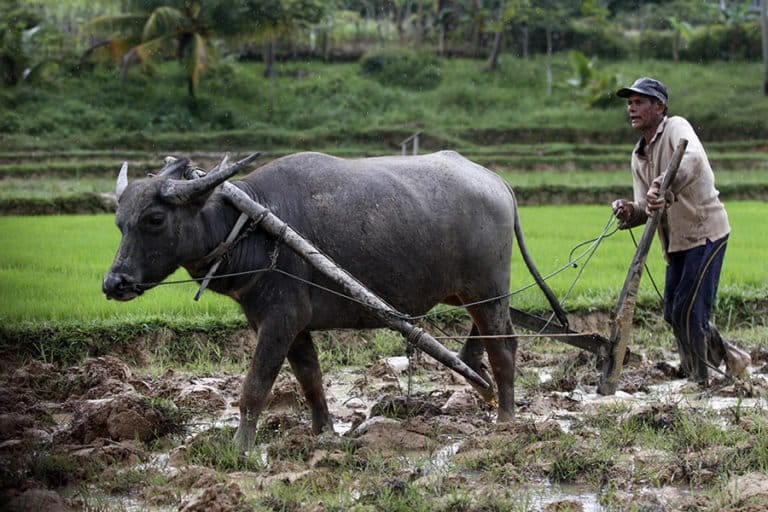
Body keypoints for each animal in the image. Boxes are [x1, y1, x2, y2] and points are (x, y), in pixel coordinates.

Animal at [103, 150, 567, 448]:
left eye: (154, 219)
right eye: (119, 222)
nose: (114, 283)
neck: (253, 224)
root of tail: (497, 183)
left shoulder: (279, 319)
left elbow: (255, 386)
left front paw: (238, 448)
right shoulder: (290, 324)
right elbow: (310, 380)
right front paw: (324, 433)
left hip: (489, 291)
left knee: (504, 348)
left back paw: (505, 419)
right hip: (471, 295)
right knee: (487, 341)